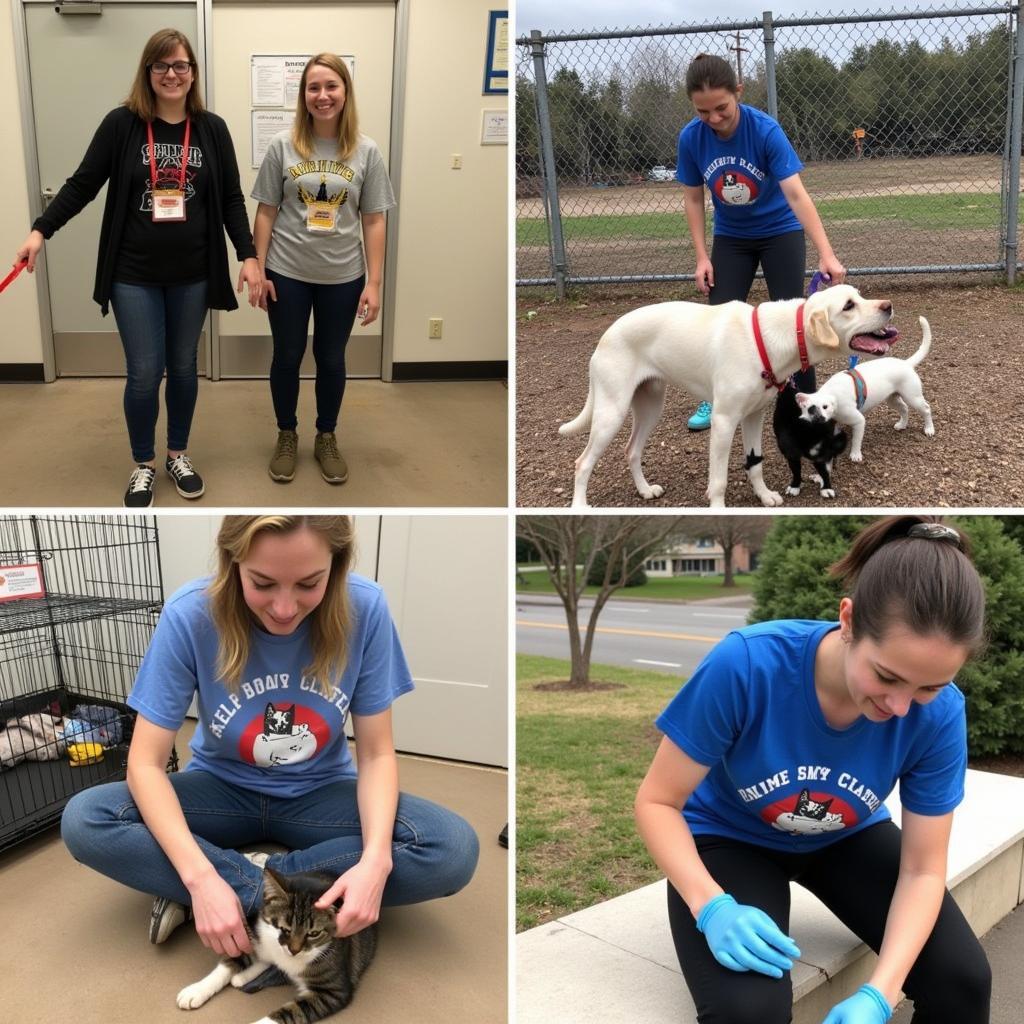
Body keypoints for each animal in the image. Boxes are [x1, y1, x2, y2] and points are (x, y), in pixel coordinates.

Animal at [178, 864, 378, 1024]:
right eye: (284, 928)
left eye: (313, 933)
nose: (294, 950)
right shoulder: (257, 932)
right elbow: (229, 962)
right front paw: (196, 990)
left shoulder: (332, 992)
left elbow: (292, 1011)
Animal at [561, 284, 897, 507]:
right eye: (848, 305)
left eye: (860, 296)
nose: (888, 305)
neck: (777, 337)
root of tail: (605, 336)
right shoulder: (723, 422)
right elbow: (719, 481)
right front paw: (719, 508)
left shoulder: (753, 417)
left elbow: (755, 462)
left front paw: (764, 495)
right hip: (611, 413)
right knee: (582, 463)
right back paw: (580, 507)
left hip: (650, 408)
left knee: (631, 451)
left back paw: (644, 490)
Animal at [794, 315, 933, 464]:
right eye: (811, 409)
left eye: (825, 406)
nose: (820, 418)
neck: (833, 397)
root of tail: (906, 363)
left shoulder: (859, 421)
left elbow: (856, 441)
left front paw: (855, 455)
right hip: (892, 398)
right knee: (904, 408)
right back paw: (902, 425)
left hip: (913, 397)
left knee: (926, 409)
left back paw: (929, 429)